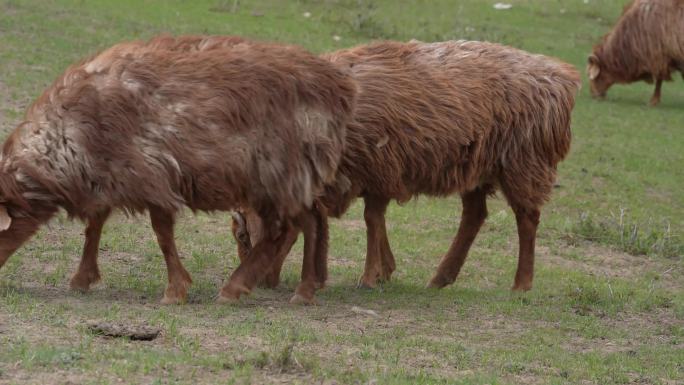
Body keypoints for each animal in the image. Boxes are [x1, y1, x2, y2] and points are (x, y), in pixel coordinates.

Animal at [0, 34, 356, 304]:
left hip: (280, 173)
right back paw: (302, 288)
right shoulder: (109, 176)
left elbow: (161, 234)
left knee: (287, 228)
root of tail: (337, 88)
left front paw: (175, 291)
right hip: (291, 176)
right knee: (308, 222)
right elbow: (95, 226)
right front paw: (82, 279)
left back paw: (240, 288)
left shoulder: (150, 173)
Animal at [232, 39, 580, 304]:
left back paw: (521, 284)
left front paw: (371, 275)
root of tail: (561, 75)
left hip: (524, 162)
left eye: (244, 234)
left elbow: (372, 219)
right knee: (475, 215)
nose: (264, 282)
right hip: (477, 166)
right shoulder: (372, 174)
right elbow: (374, 219)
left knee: (527, 219)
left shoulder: (379, 167)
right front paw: (385, 269)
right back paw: (441, 277)